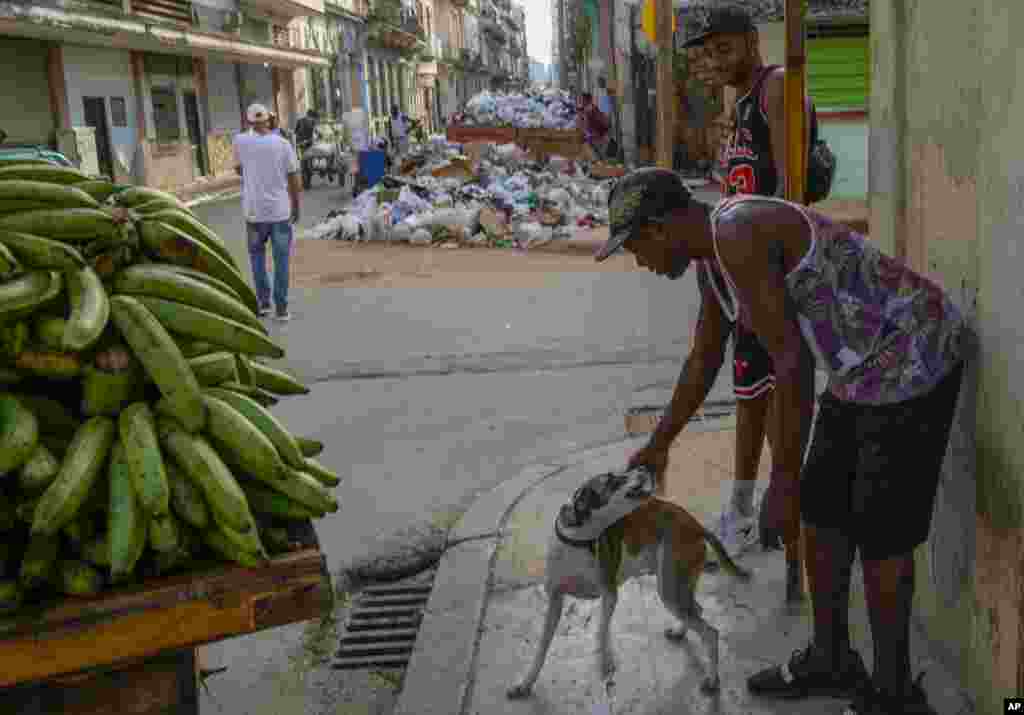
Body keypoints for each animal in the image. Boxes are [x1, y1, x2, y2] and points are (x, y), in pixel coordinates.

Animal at [507, 465, 749, 700]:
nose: (645, 467)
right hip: (677, 586)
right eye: (612, 480)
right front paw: (525, 683)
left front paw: (606, 659)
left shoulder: (609, 594)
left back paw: (712, 679)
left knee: (710, 632)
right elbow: (541, 648)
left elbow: (601, 628)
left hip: (670, 588)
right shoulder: (555, 601)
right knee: (696, 610)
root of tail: (696, 525)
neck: (579, 540)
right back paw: (681, 631)